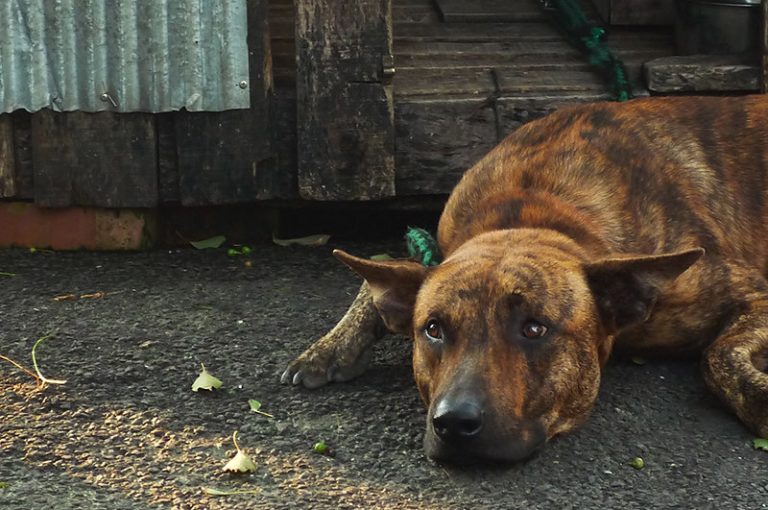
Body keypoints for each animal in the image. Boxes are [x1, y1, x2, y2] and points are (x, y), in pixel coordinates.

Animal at [280, 94, 768, 462]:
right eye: (433, 330)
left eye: (535, 329)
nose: (454, 423)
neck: (531, 208)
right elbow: (381, 277)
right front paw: (330, 346)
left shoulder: (752, 293)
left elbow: (716, 356)